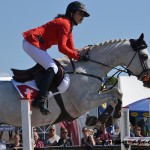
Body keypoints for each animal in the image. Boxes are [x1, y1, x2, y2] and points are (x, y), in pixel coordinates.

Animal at [0, 33, 150, 126]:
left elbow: (118, 93)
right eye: (144, 56)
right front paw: (102, 119)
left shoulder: (95, 94)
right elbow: (113, 98)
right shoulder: (84, 103)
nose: (148, 81)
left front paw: (111, 117)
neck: (87, 68)